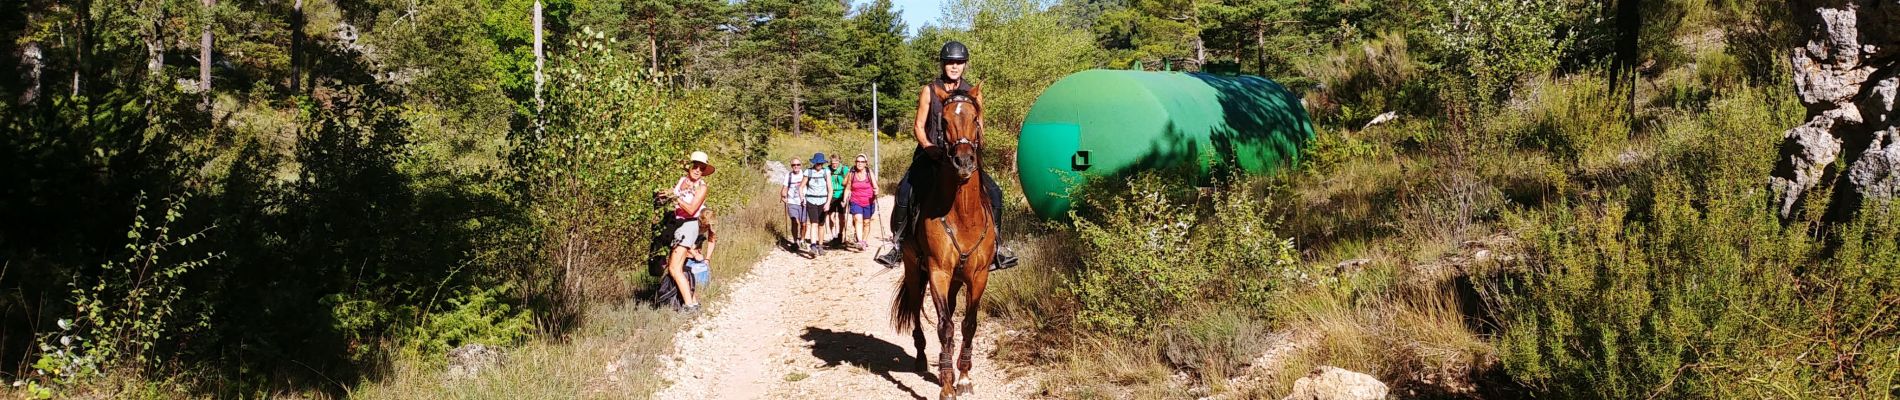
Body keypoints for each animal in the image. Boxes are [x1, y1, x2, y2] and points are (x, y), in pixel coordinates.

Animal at [893, 84, 1003, 400]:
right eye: (943, 122)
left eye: (976, 119)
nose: (964, 162)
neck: (963, 213)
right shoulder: (938, 272)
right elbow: (944, 327)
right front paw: (945, 384)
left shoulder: (978, 276)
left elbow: (968, 324)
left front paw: (963, 377)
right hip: (914, 269)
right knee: (916, 307)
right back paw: (920, 358)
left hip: (956, 279)